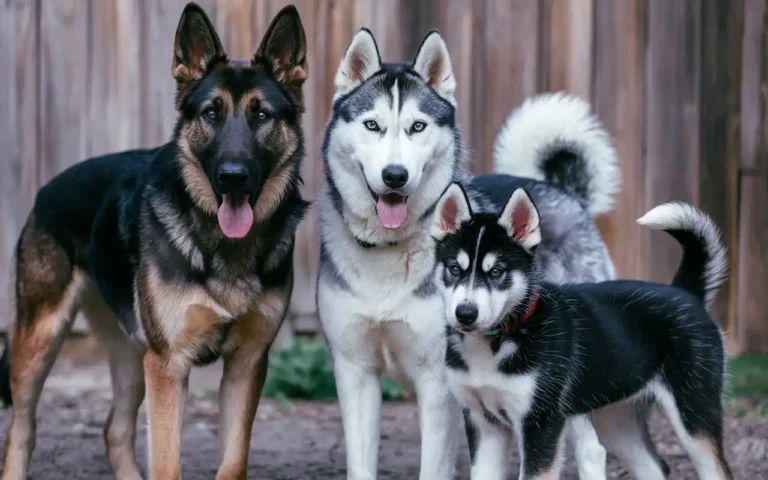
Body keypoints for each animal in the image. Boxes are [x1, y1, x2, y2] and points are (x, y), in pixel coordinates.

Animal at [318, 28, 664, 478]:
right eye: (372, 125)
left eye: (417, 126)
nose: (395, 176)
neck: (390, 250)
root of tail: (565, 193)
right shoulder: (354, 372)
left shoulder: (437, 382)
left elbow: (434, 465)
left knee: (593, 451)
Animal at [432, 182, 732, 478]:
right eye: (454, 269)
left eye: (496, 272)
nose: (465, 314)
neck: (498, 341)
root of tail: (685, 293)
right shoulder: (484, 424)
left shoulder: (540, 424)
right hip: (617, 423)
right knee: (656, 467)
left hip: (693, 417)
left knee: (718, 470)